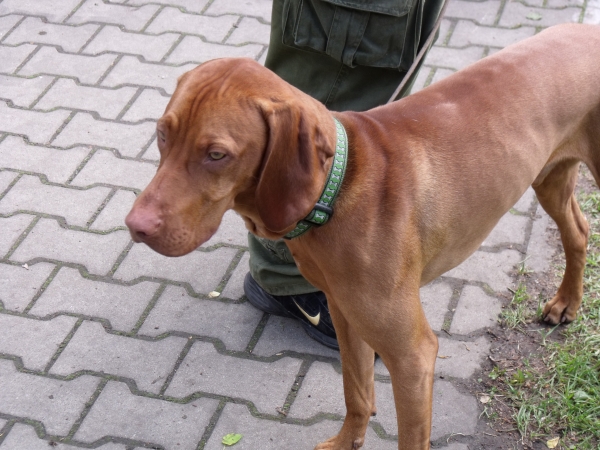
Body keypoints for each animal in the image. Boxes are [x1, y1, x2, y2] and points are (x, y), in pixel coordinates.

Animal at [126, 23, 600, 449]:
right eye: (162, 134)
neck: (334, 193)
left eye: (216, 154)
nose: (135, 226)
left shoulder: (412, 356)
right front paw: (345, 442)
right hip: (550, 177)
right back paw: (566, 302)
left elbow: (409, 436)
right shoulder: (343, 312)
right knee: (579, 231)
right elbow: (356, 392)